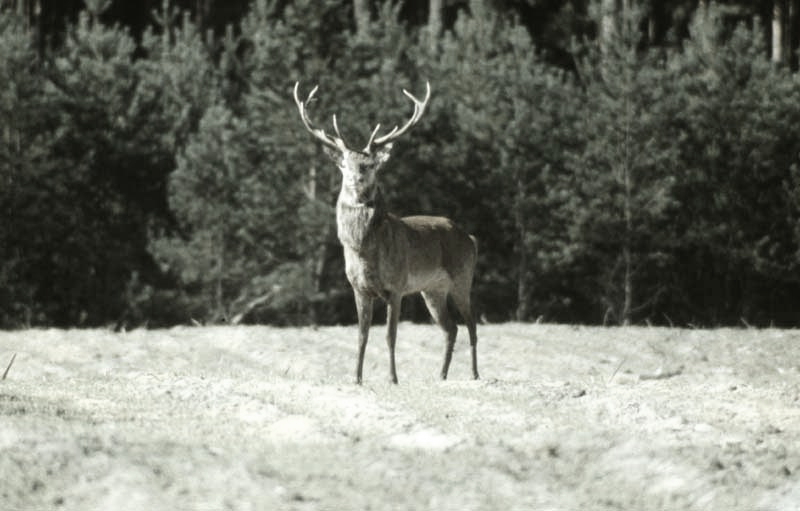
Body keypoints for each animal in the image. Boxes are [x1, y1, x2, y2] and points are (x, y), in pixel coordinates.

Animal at [296, 81, 478, 384]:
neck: (364, 251)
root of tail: (471, 238)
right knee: (451, 328)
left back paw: (475, 374)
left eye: (369, 165)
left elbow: (390, 336)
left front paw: (393, 378)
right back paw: (441, 375)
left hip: (462, 277)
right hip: (433, 289)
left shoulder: (396, 286)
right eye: (344, 164)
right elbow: (361, 336)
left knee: (471, 324)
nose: (356, 180)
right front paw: (356, 378)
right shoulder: (358, 288)